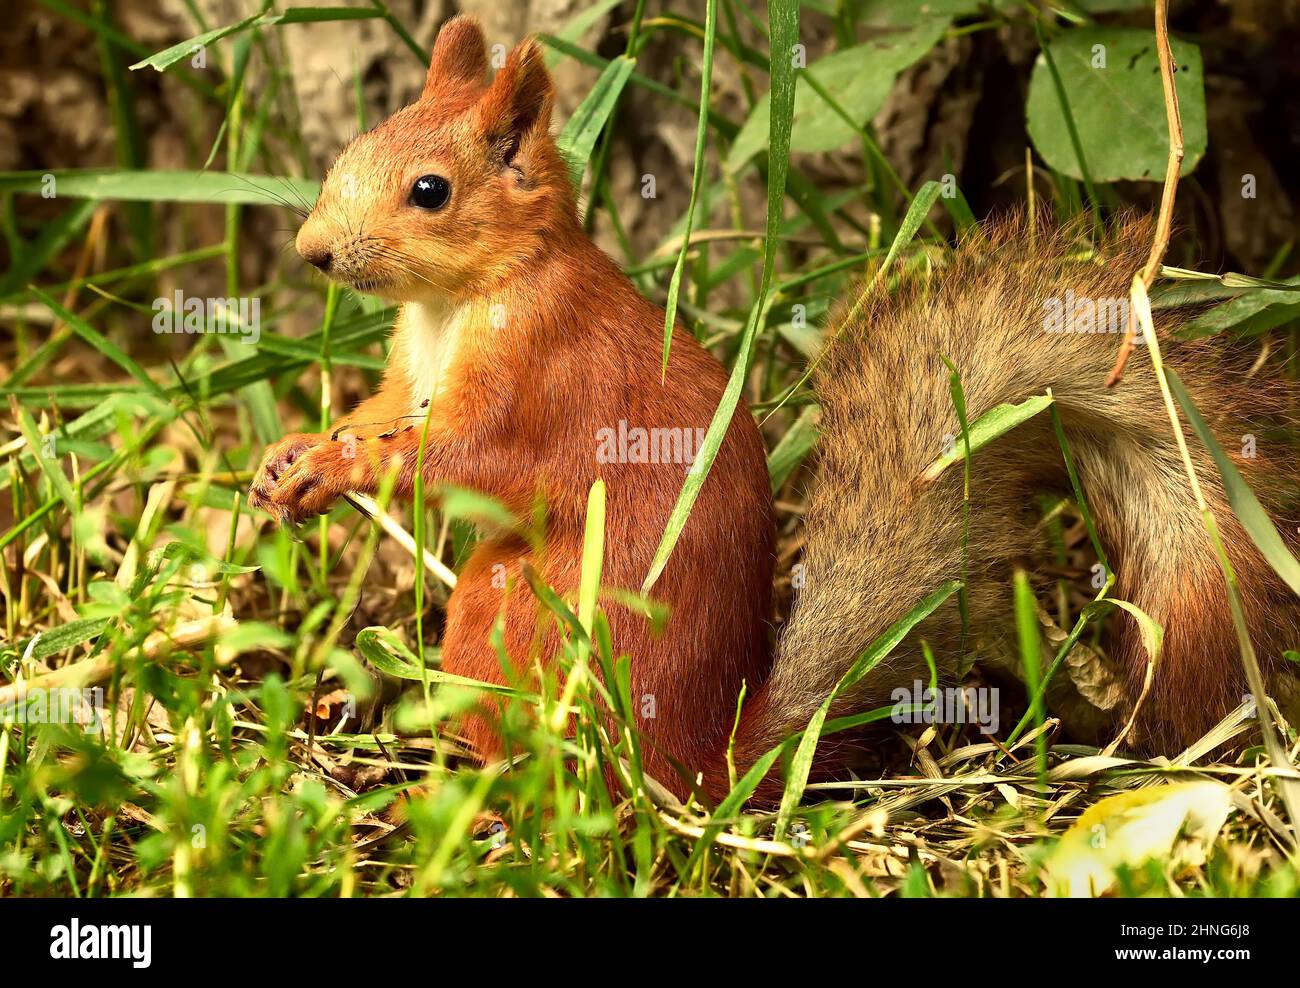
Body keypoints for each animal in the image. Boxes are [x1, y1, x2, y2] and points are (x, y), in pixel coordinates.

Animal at [251, 16, 1300, 802]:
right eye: (348, 150)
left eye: (430, 191)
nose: (310, 251)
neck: (462, 298)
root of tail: (706, 766)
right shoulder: (408, 369)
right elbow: (382, 409)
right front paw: (293, 455)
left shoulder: (536, 370)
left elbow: (468, 463)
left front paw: (339, 468)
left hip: (507, 614)